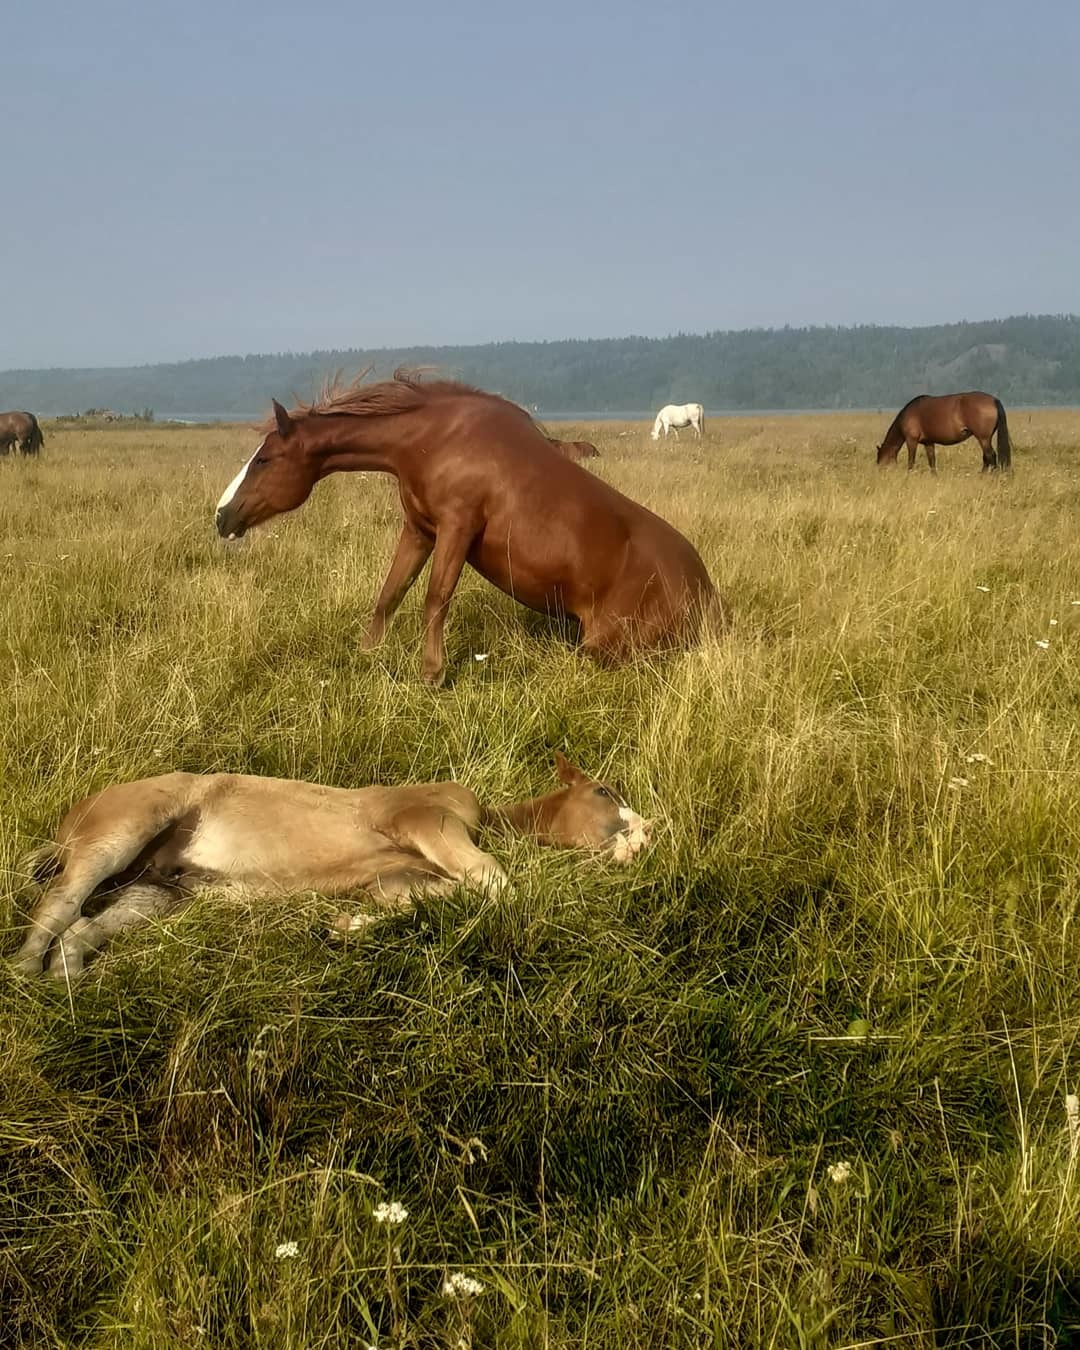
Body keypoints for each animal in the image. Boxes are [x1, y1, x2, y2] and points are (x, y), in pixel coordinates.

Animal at [12, 750, 653, 982]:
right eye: (603, 791)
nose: (647, 833)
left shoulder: (399, 879)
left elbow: (439, 898)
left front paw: (343, 927)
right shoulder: (425, 819)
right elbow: (498, 879)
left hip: (159, 890)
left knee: (83, 926)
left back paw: (68, 978)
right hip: (125, 827)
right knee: (59, 900)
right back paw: (23, 973)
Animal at [213, 369, 718, 685]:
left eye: (265, 459)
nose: (222, 516)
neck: (435, 439)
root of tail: (708, 597)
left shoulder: (457, 527)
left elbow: (436, 598)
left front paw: (431, 674)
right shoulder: (419, 530)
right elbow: (390, 594)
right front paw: (367, 655)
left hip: (602, 648)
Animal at [874, 391, 1015, 475]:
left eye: (881, 461)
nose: (879, 473)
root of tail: (994, 400)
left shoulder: (911, 441)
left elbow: (911, 462)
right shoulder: (928, 443)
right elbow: (932, 462)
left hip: (983, 438)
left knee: (990, 456)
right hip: (985, 439)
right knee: (986, 457)